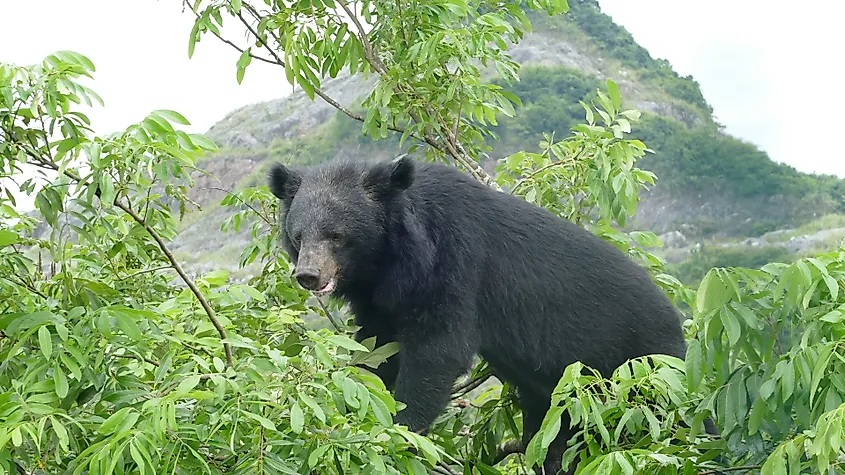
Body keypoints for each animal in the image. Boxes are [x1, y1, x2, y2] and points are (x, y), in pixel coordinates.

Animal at [268, 155, 700, 474]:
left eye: (337, 236)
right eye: (299, 236)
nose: (308, 275)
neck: (390, 259)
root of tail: (676, 319)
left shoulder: (455, 265)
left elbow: (437, 351)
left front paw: (400, 431)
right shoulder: (379, 300)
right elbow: (376, 350)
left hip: (648, 366)